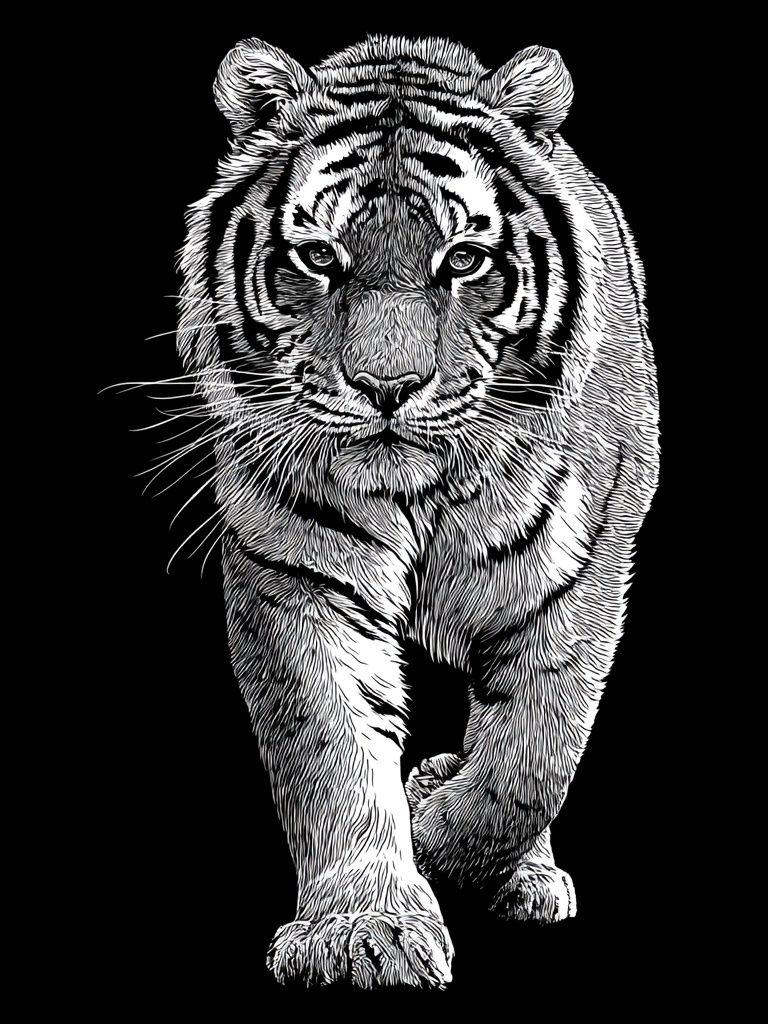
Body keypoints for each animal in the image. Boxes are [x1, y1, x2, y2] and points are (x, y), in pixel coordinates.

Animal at [176, 35, 659, 989]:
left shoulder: (578, 582)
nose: (388, 386)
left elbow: (530, 760)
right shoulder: (296, 576)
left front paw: (435, 824)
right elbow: (329, 751)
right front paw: (366, 929)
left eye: (462, 261)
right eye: (321, 259)